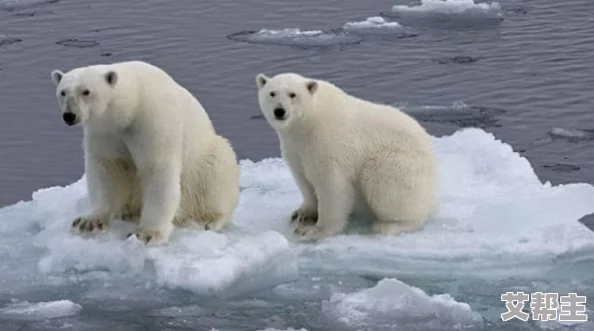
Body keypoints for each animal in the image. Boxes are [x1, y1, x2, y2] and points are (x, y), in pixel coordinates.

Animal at [49, 61, 238, 245]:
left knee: (217, 172)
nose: (69, 115)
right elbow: (107, 168)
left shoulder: (154, 122)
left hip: (206, 160)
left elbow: (157, 170)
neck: (133, 104)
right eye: (63, 92)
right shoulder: (105, 133)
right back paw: (127, 212)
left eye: (86, 91)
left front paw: (147, 234)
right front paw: (88, 222)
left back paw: (211, 220)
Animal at [252, 74, 438, 243]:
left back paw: (389, 225)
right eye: (272, 93)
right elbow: (303, 178)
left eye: (292, 94)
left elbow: (332, 185)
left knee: (382, 181)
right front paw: (301, 214)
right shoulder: (295, 148)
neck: (308, 122)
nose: (279, 111)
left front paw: (312, 231)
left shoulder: (326, 141)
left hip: (402, 165)